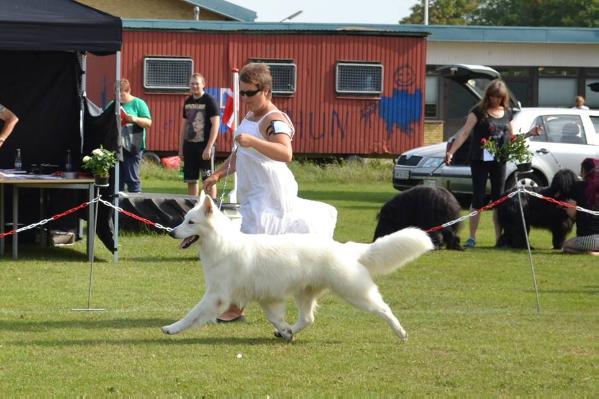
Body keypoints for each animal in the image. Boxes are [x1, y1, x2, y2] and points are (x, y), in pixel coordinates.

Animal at [165, 194, 432, 344]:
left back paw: (401, 333)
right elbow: (275, 318)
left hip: (355, 293)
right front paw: (284, 331)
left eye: (190, 222)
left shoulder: (216, 296)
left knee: (384, 308)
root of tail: (346, 249)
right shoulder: (266, 297)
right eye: (184, 219)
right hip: (304, 294)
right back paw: (289, 331)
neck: (222, 243)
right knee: (308, 318)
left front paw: (172, 328)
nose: (171, 232)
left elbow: (192, 313)